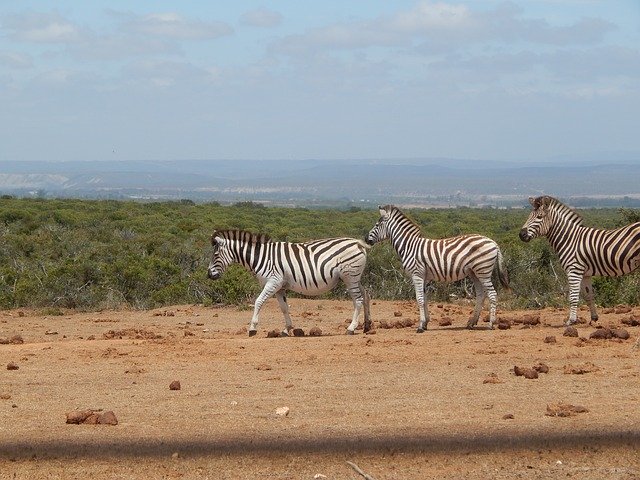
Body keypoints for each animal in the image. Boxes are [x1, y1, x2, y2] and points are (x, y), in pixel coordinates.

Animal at [208, 230, 372, 336]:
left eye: (215, 254)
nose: (209, 275)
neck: (261, 257)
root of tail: (357, 243)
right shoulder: (280, 287)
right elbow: (284, 308)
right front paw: (287, 329)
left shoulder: (273, 282)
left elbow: (258, 301)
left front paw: (252, 328)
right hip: (354, 277)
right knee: (365, 295)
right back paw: (367, 325)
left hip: (350, 276)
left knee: (358, 300)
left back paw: (351, 328)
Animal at [364, 204, 510, 332]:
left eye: (377, 225)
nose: (365, 239)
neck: (409, 246)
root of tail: (494, 242)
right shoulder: (424, 276)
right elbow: (424, 298)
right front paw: (425, 323)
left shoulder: (417, 274)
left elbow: (419, 299)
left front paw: (420, 326)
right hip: (475, 272)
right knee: (481, 294)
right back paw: (471, 323)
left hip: (483, 270)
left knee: (492, 294)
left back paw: (490, 324)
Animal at [516, 196, 640, 326]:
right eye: (529, 215)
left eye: (539, 217)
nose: (521, 234)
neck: (570, 239)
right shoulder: (585, 274)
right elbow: (589, 296)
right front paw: (594, 318)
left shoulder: (574, 270)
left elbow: (573, 297)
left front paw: (571, 320)